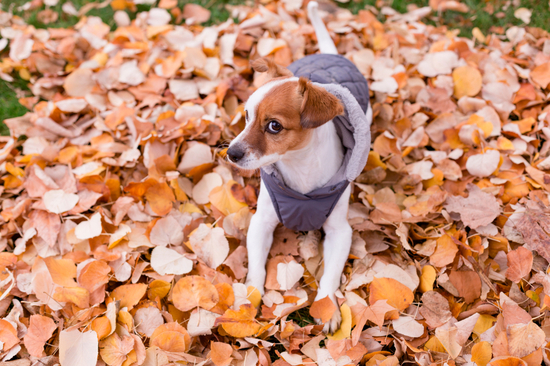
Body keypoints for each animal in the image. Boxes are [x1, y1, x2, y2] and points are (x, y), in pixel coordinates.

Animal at [226, 0, 374, 332]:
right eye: (246, 115)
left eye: (274, 126)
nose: (231, 153)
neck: (299, 168)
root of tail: (329, 54)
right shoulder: (261, 223)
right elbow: (256, 269)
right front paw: (250, 300)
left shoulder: (340, 232)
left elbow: (331, 273)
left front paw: (327, 308)